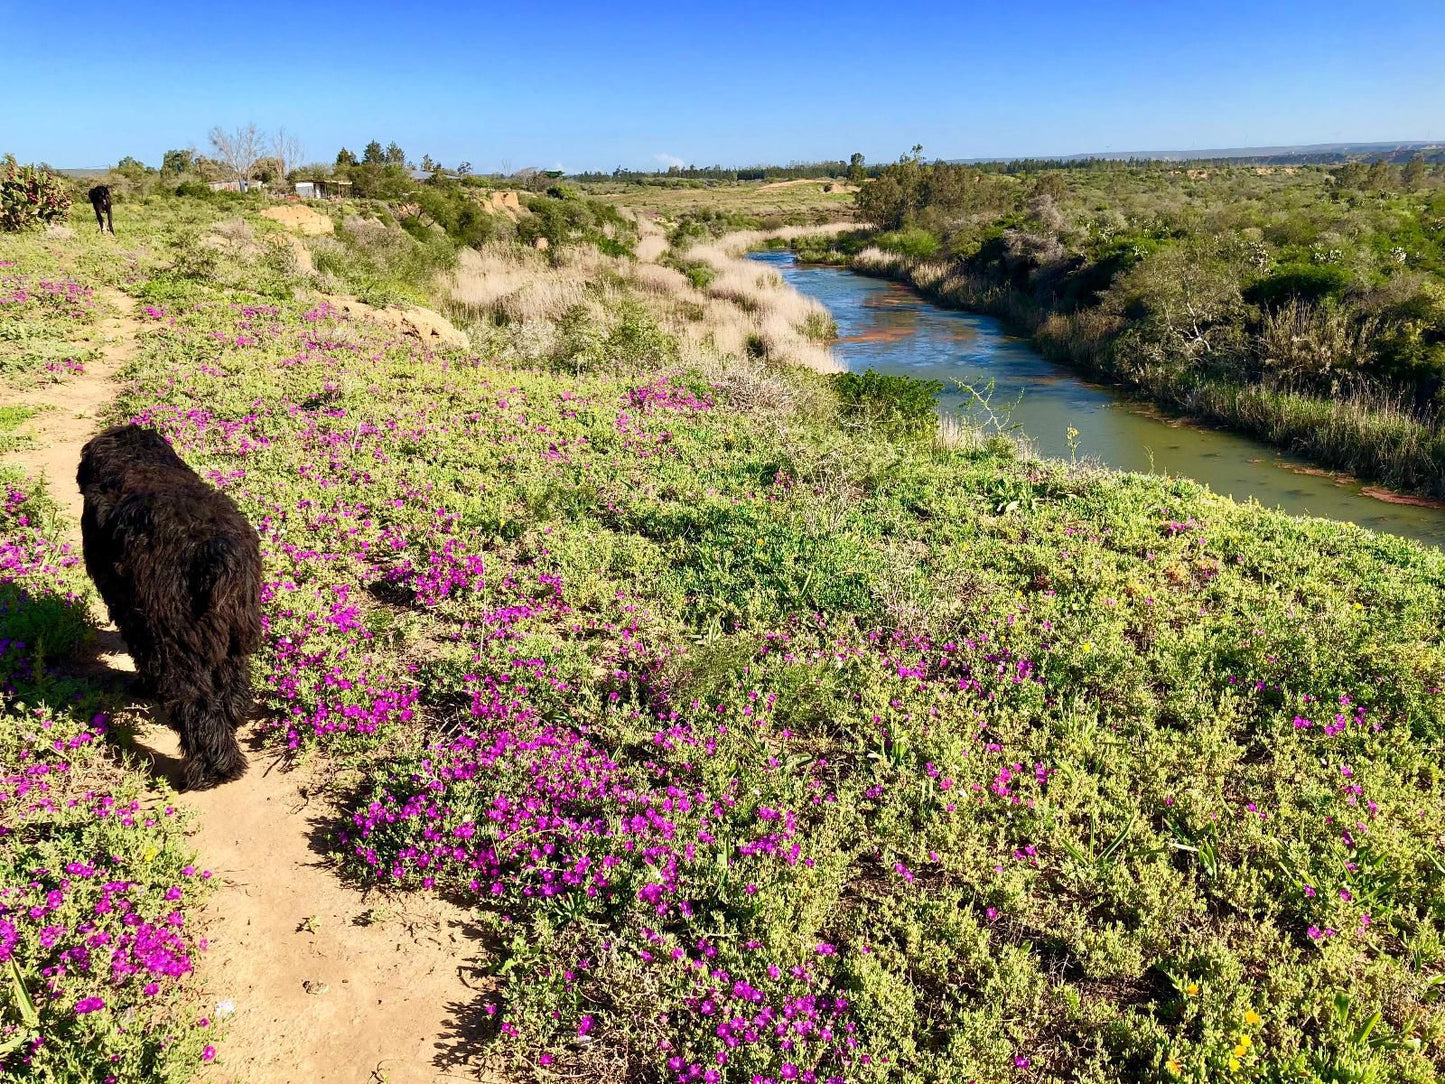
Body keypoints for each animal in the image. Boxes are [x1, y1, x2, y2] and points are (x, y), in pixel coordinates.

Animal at [78, 424, 262, 792]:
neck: (137, 461)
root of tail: (212, 551)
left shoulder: (133, 614)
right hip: (233, 633)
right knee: (231, 680)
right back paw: (234, 716)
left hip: (176, 647)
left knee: (197, 707)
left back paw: (212, 769)